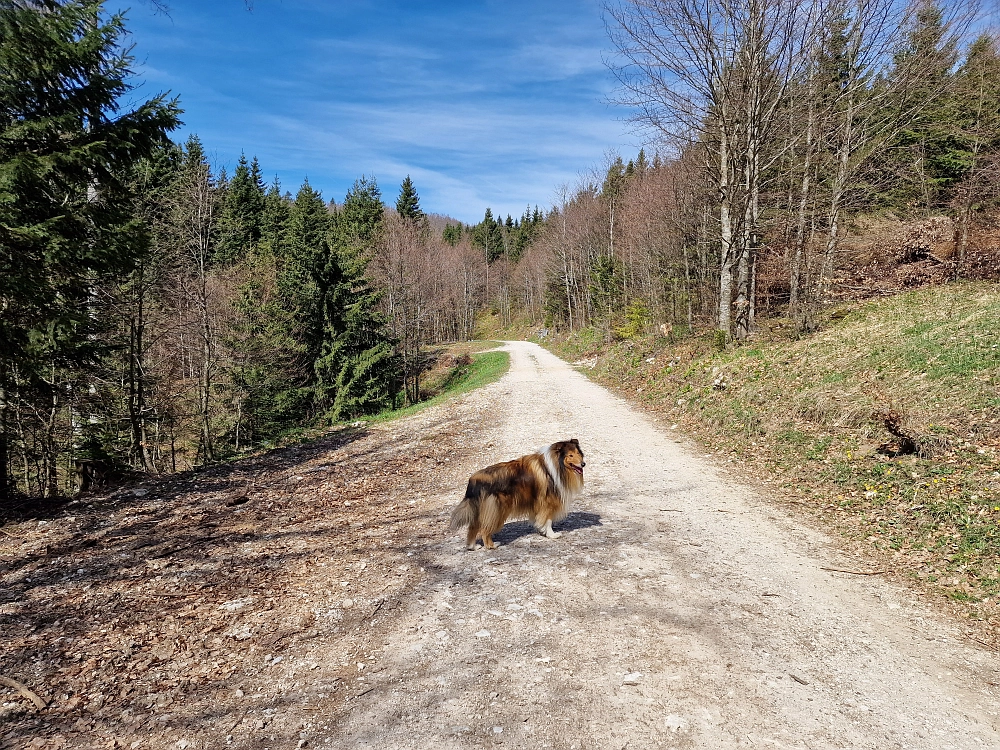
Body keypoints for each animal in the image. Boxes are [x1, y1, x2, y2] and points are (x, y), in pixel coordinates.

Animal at [448, 440, 584, 552]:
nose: (583, 464)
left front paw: (543, 531)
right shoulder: (548, 501)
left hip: (479, 510)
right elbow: (548, 520)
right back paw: (492, 545)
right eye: (570, 455)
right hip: (497, 510)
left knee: (473, 528)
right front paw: (552, 535)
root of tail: (474, 480)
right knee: (484, 530)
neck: (556, 466)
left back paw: (473, 546)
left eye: (578, 453)